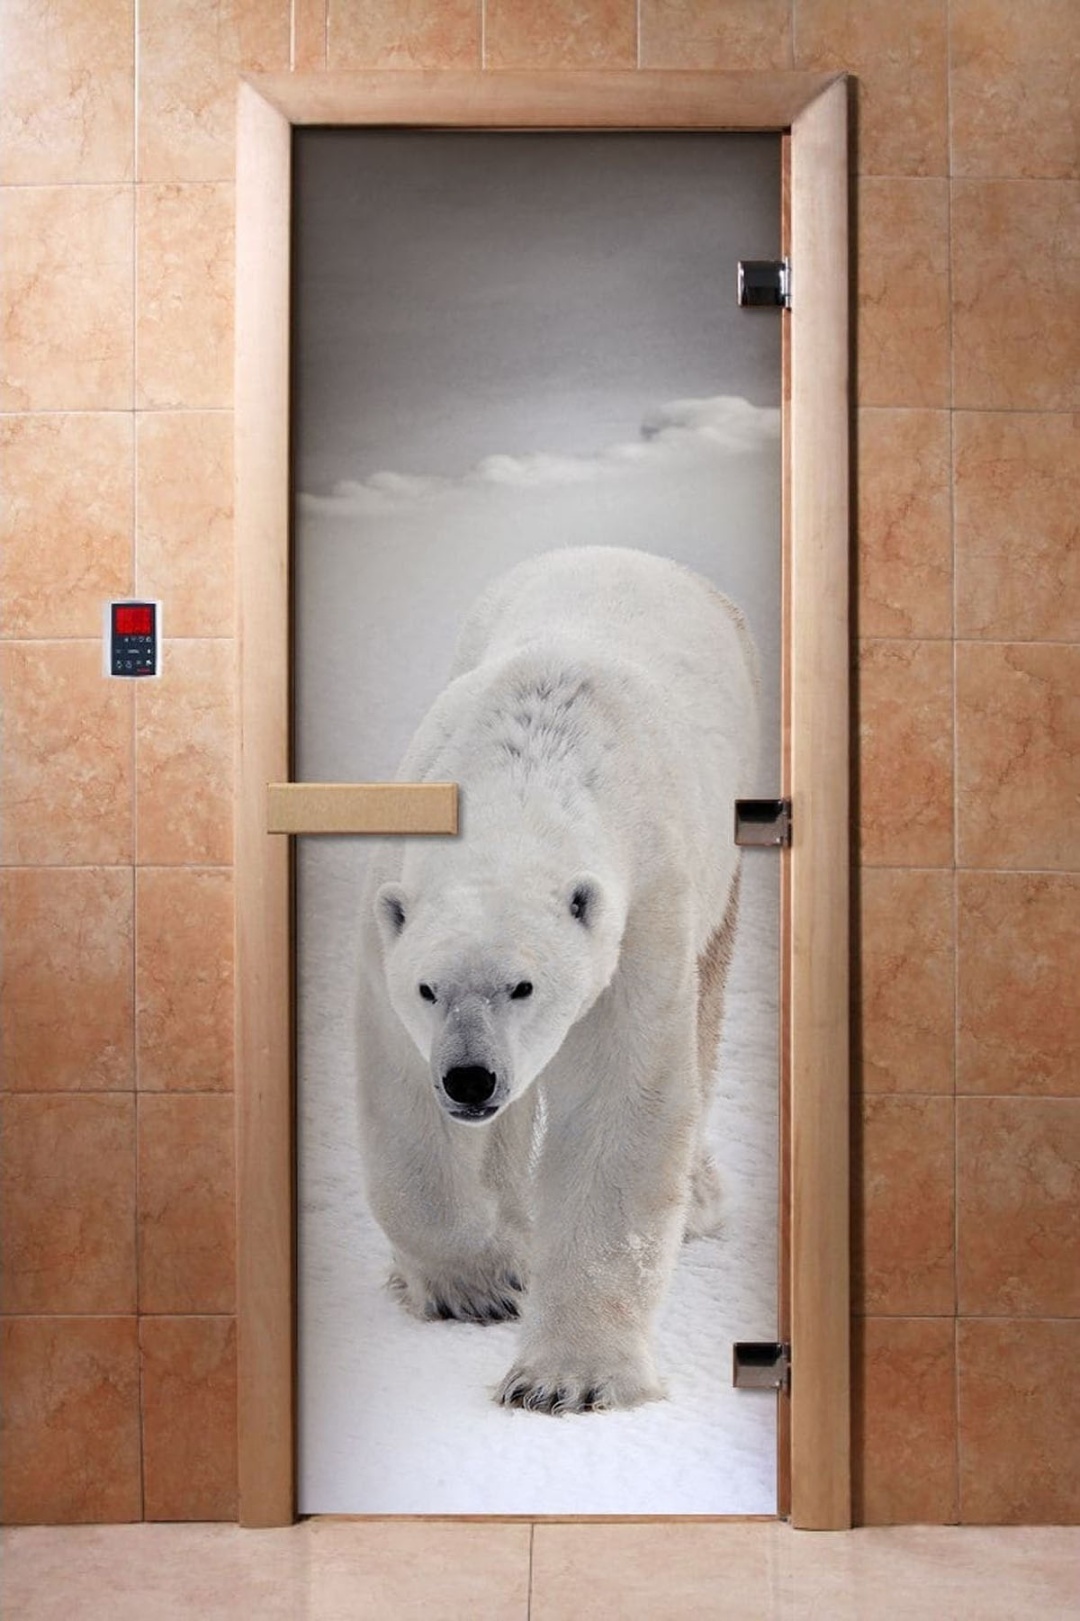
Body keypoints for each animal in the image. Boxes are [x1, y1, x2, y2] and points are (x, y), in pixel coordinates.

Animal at [356, 545, 759, 1414]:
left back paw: (699, 1197)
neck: (529, 769)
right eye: (428, 990)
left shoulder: (641, 911)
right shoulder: (390, 910)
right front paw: (477, 1280)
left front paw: (566, 1379)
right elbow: (402, 1094)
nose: (470, 1078)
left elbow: (618, 1104)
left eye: (524, 987)